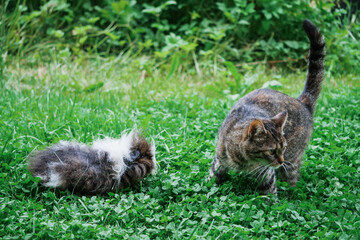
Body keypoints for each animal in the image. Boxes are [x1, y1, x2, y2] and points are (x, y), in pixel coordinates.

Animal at [208, 19, 326, 196]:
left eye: (283, 147)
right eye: (271, 151)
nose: (281, 160)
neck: (242, 161)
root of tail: (301, 101)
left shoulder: (266, 173)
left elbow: (270, 192)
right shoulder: (219, 160)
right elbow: (212, 178)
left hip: (292, 162)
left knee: (291, 182)